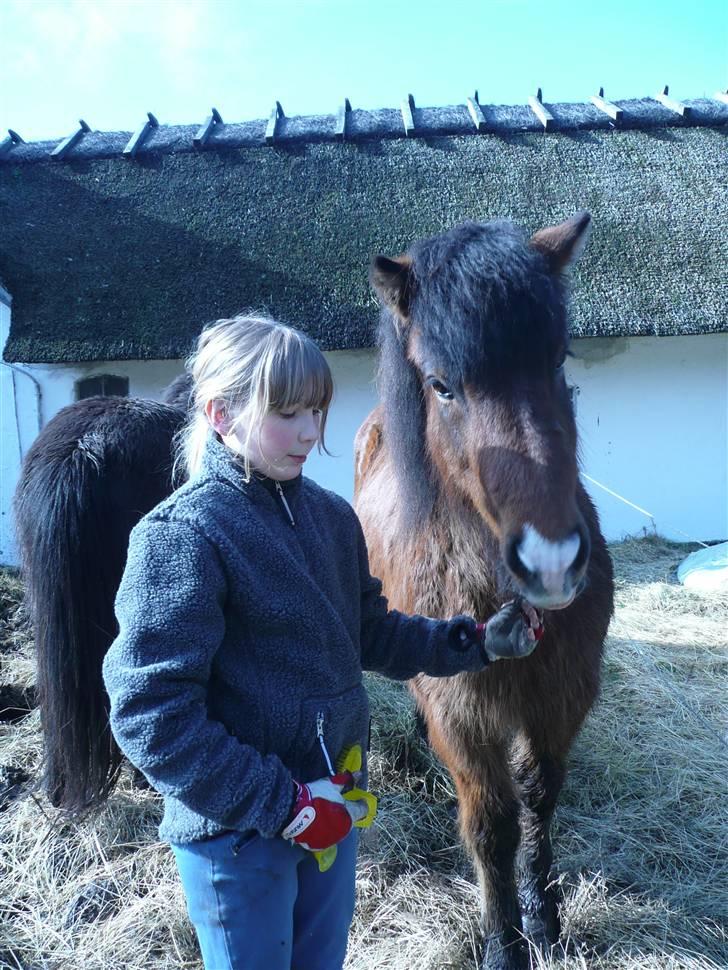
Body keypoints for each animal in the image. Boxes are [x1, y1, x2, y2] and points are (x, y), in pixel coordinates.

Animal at [356, 214, 616, 968]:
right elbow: (491, 823)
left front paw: (543, 917)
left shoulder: (562, 698)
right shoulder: (464, 720)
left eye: (557, 360)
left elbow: (537, 799)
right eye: (442, 385)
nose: (552, 562)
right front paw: (502, 941)